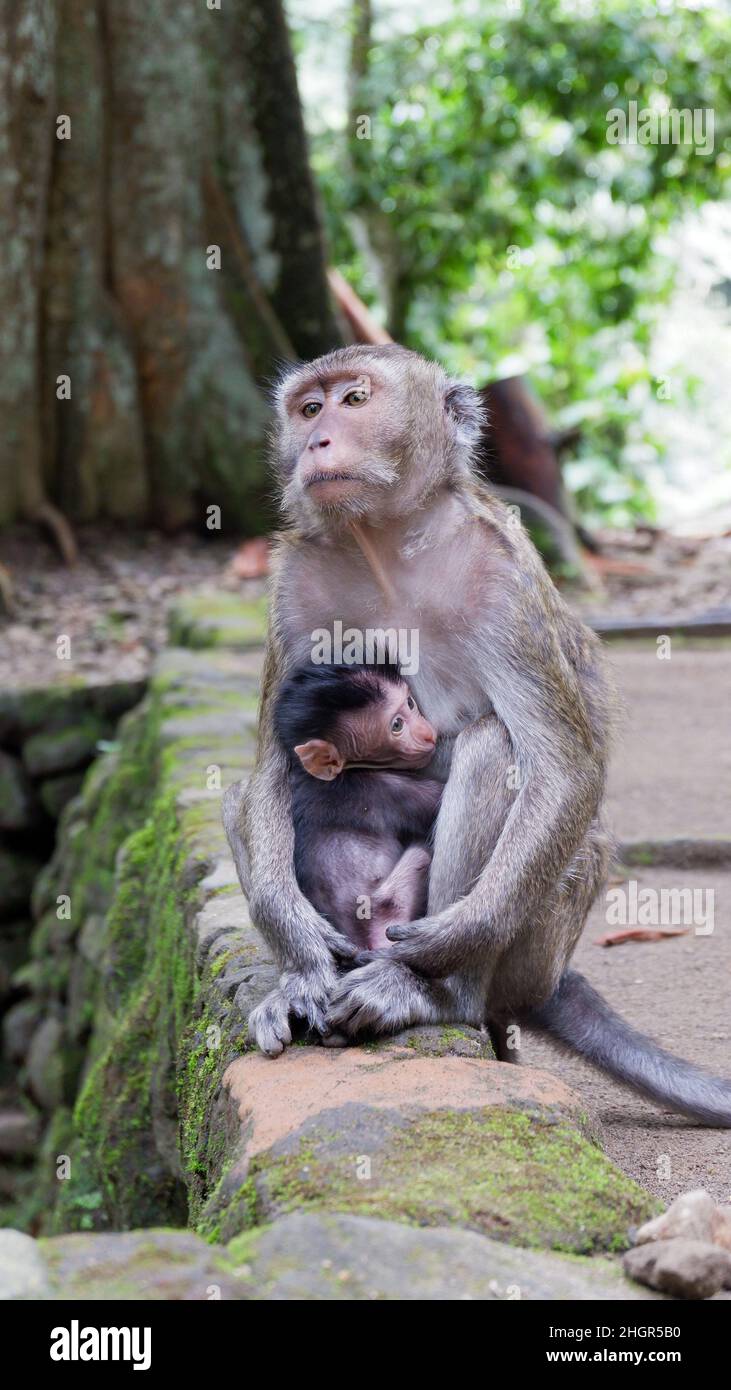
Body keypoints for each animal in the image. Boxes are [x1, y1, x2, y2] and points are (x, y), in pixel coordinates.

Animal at [276, 664, 444, 950]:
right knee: (422, 854)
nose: (427, 733)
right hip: (388, 910)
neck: (347, 770)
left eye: (410, 703)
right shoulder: (383, 790)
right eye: (396, 725)